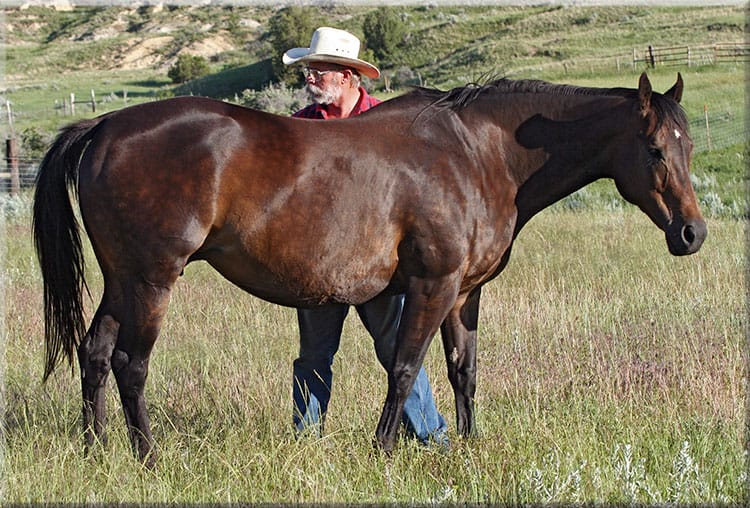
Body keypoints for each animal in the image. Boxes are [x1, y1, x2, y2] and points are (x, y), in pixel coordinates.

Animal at [33, 73, 704, 466]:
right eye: (654, 149)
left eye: (688, 147)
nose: (692, 234)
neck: (477, 153)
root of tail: (104, 126)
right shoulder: (433, 285)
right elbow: (404, 367)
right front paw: (383, 452)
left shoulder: (465, 293)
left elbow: (462, 371)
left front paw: (467, 446)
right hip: (151, 280)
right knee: (130, 364)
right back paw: (148, 459)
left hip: (122, 281)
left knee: (95, 354)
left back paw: (95, 451)